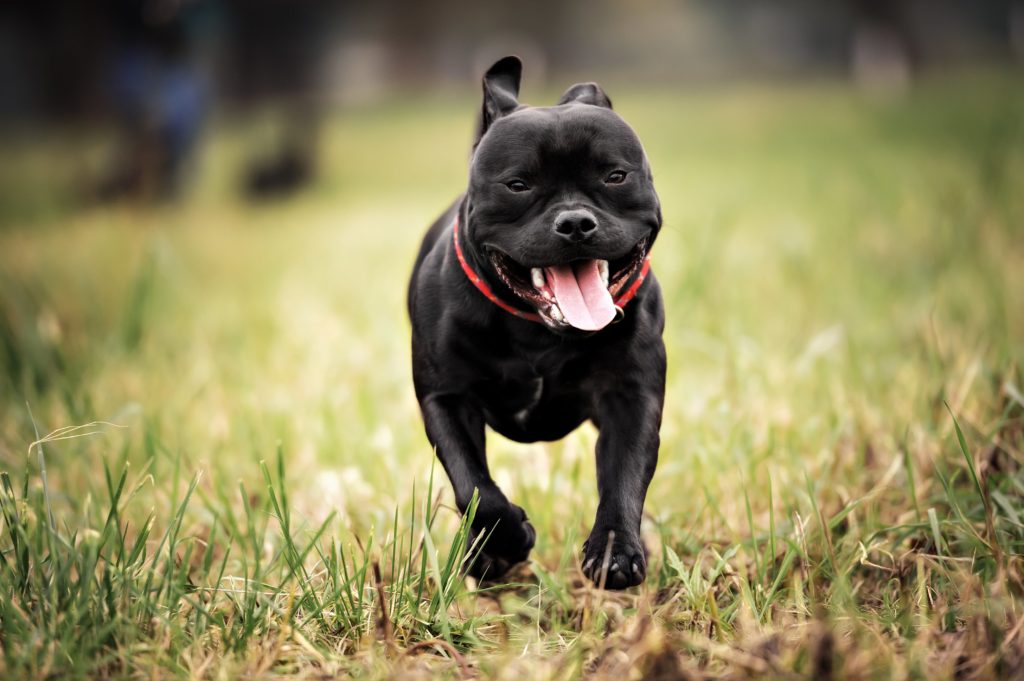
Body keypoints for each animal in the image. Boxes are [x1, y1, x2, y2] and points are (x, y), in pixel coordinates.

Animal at [407, 57, 663, 589]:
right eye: (518, 185)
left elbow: (624, 475)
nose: (575, 222)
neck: (540, 332)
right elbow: (475, 488)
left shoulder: (631, 396)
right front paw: (505, 542)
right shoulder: (447, 399)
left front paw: (615, 552)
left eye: (615, 176)